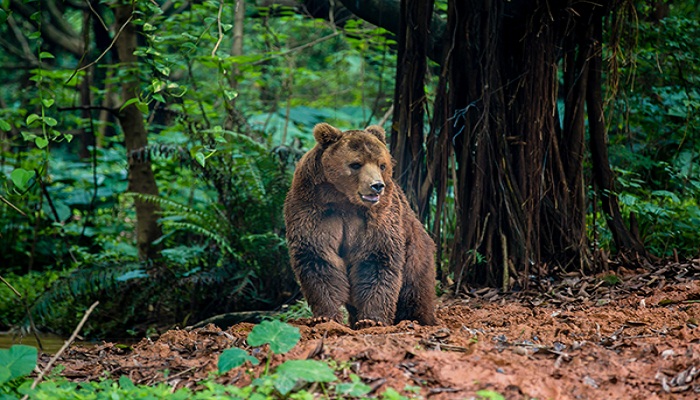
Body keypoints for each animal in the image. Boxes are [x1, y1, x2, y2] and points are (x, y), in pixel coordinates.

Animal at [284, 122, 437, 329]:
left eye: (382, 164)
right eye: (356, 164)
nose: (377, 186)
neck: (343, 199)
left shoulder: (378, 215)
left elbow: (376, 259)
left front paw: (371, 319)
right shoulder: (313, 208)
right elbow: (318, 258)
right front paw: (324, 317)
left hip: (416, 252)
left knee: (414, 290)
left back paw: (417, 319)